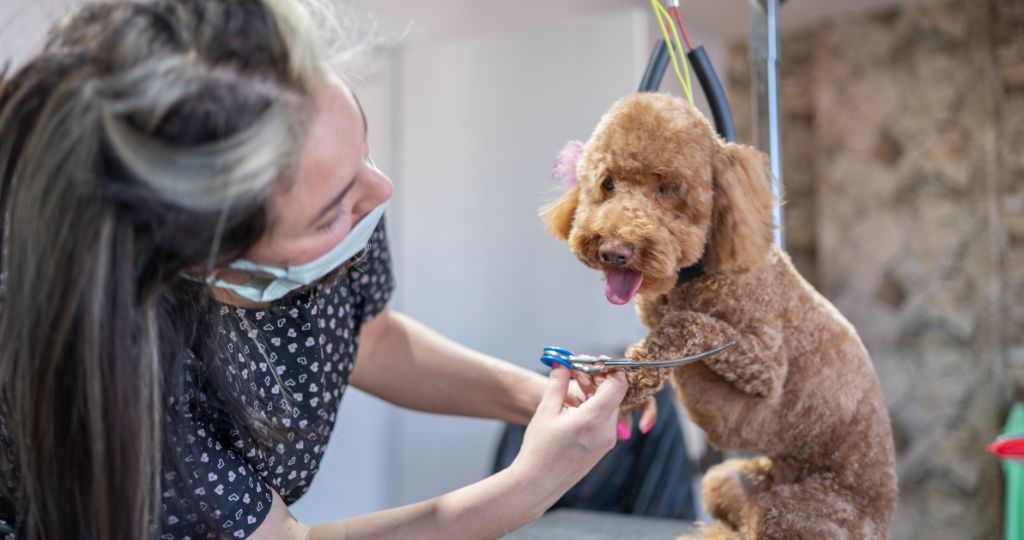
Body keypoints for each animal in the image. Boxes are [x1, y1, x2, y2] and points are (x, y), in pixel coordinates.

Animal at [544, 90, 897, 536]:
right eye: (607, 183)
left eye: (667, 188)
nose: (613, 251)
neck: (695, 275)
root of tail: (884, 520)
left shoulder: (765, 365)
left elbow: (690, 324)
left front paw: (637, 374)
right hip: (725, 479)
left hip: (794, 510)